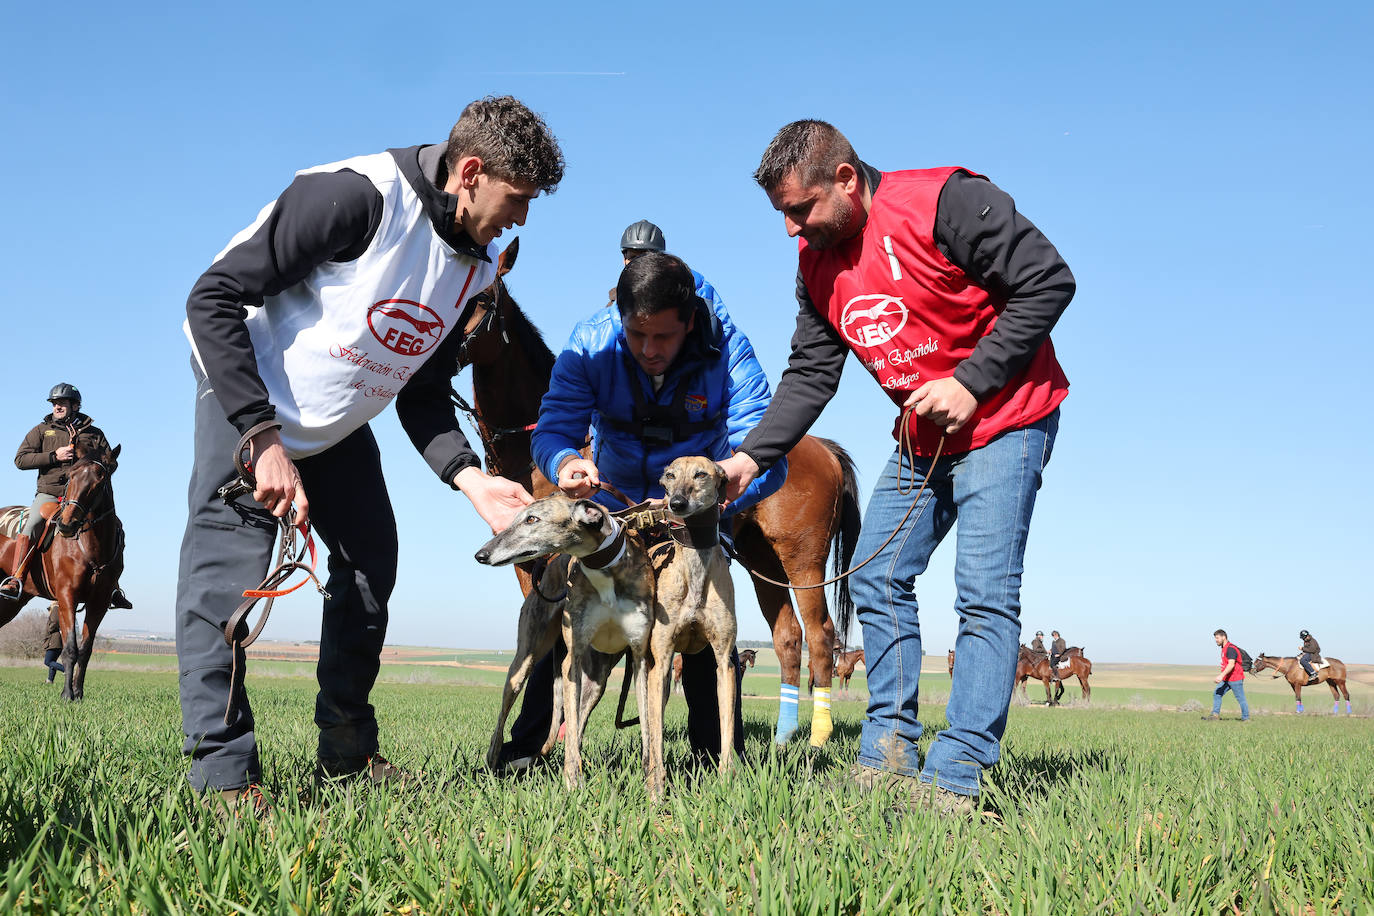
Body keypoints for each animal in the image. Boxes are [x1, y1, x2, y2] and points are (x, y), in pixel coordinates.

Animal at [0, 444, 126, 703]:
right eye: (71, 476)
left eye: (100, 479)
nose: (66, 524)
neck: (90, 546)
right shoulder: (67, 596)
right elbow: (69, 648)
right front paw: (67, 694)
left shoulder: (98, 603)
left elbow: (85, 650)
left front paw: (78, 693)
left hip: (11, 603)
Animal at [450, 241, 857, 747]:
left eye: (484, 298)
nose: (440, 354)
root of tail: (824, 448)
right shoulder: (535, 570)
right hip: (762, 562)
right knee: (787, 637)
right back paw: (783, 737)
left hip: (803, 563)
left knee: (820, 636)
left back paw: (817, 737)